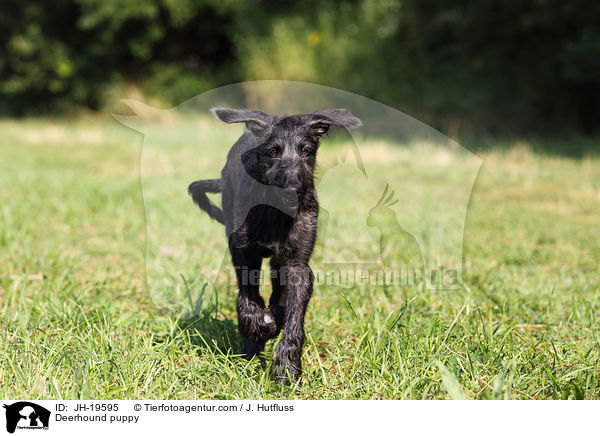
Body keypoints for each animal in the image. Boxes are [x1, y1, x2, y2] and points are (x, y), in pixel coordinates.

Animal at [189, 107, 360, 384]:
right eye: (273, 152)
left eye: (306, 151)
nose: (293, 189)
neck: (276, 211)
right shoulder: (243, 252)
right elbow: (248, 299)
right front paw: (257, 330)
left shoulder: (297, 264)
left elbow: (293, 319)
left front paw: (287, 368)